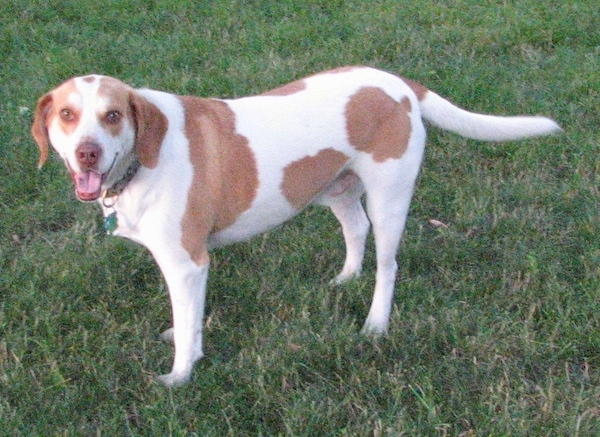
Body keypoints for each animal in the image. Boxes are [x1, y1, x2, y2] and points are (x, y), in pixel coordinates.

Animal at [31, 65, 556, 384]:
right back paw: (345, 278)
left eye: (113, 115)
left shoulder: (187, 262)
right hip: (337, 189)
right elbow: (186, 320)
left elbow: (186, 327)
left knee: (388, 265)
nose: (87, 152)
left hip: (391, 198)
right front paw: (183, 336)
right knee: (356, 230)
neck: (143, 157)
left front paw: (179, 376)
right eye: (67, 114)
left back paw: (375, 324)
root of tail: (397, 81)